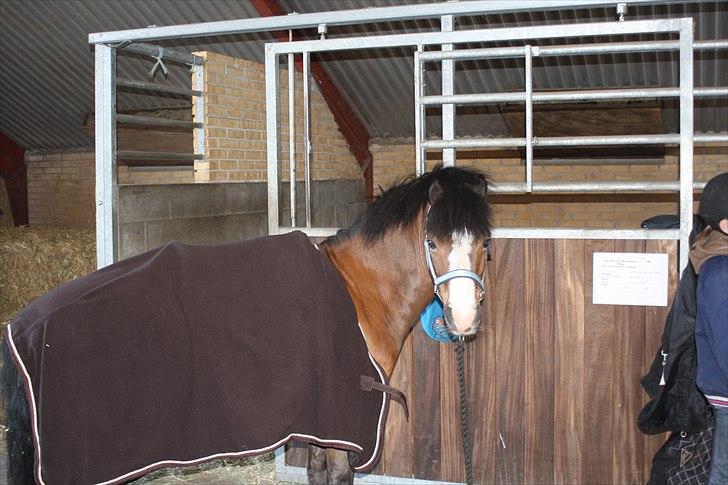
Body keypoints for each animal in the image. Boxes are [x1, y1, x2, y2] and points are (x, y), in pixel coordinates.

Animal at [2, 164, 492, 485]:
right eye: (432, 241)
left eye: (485, 242)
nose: (464, 319)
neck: (358, 289)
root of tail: (24, 325)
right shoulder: (341, 424)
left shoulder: (321, 422)